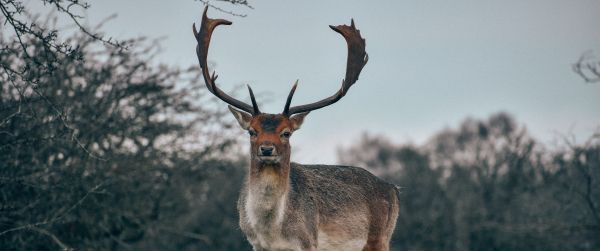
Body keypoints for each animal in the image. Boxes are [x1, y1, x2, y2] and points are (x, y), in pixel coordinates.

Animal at [192, 6, 398, 251]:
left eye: (286, 133)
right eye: (252, 131)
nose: (266, 148)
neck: (272, 232)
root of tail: (394, 189)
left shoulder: (308, 241)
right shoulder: (255, 243)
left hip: (379, 238)